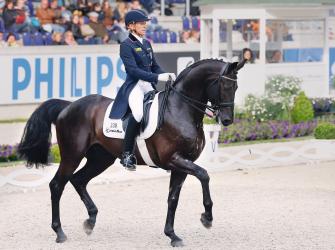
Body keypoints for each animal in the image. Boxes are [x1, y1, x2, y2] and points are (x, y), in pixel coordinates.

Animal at [17, 58, 244, 246]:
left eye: (236, 86)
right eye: (224, 85)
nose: (226, 120)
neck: (180, 109)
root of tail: (69, 105)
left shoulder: (181, 164)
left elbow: (173, 198)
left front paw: (172, 235)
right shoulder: (174, 160)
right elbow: (204, 175)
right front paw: (207, 218)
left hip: (101, 158)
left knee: (78, 180)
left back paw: (90, 221)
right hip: (72, 155)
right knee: (57, 185)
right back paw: (60, 232)